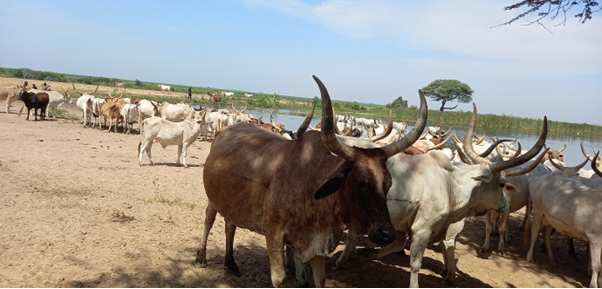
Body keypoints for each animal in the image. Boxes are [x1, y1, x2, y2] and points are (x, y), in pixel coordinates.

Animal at [196, 75, 426, 286]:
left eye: (388, 183)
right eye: (360, 182)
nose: (387, 233)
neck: (311, 187)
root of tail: (226, 130)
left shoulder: (316, 243)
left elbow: (320, 278)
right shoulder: (274, 235)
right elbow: (278, 278)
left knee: (230, 225)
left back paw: (230, 263)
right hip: (212, 198)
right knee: (209, 220)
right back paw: (201, 257)